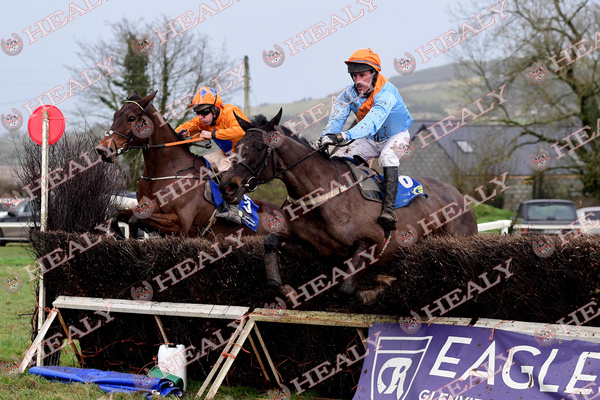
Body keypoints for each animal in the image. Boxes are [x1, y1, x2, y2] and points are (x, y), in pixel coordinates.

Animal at [97, 90, 284, 239]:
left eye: (131, 118)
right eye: (115, 115)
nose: (102, 149)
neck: (164, 172)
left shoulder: (181, 224)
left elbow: (137, 217)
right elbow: (116, 214)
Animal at [219, 109, 478, 304]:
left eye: (259, 147)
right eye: (237, 145)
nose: (227, 185)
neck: (322, 195)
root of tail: (461, 198)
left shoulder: (369, 245)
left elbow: (347, 291)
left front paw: (376, 290)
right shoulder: (314, 250)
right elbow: (271, 242)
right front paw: (287, 290)